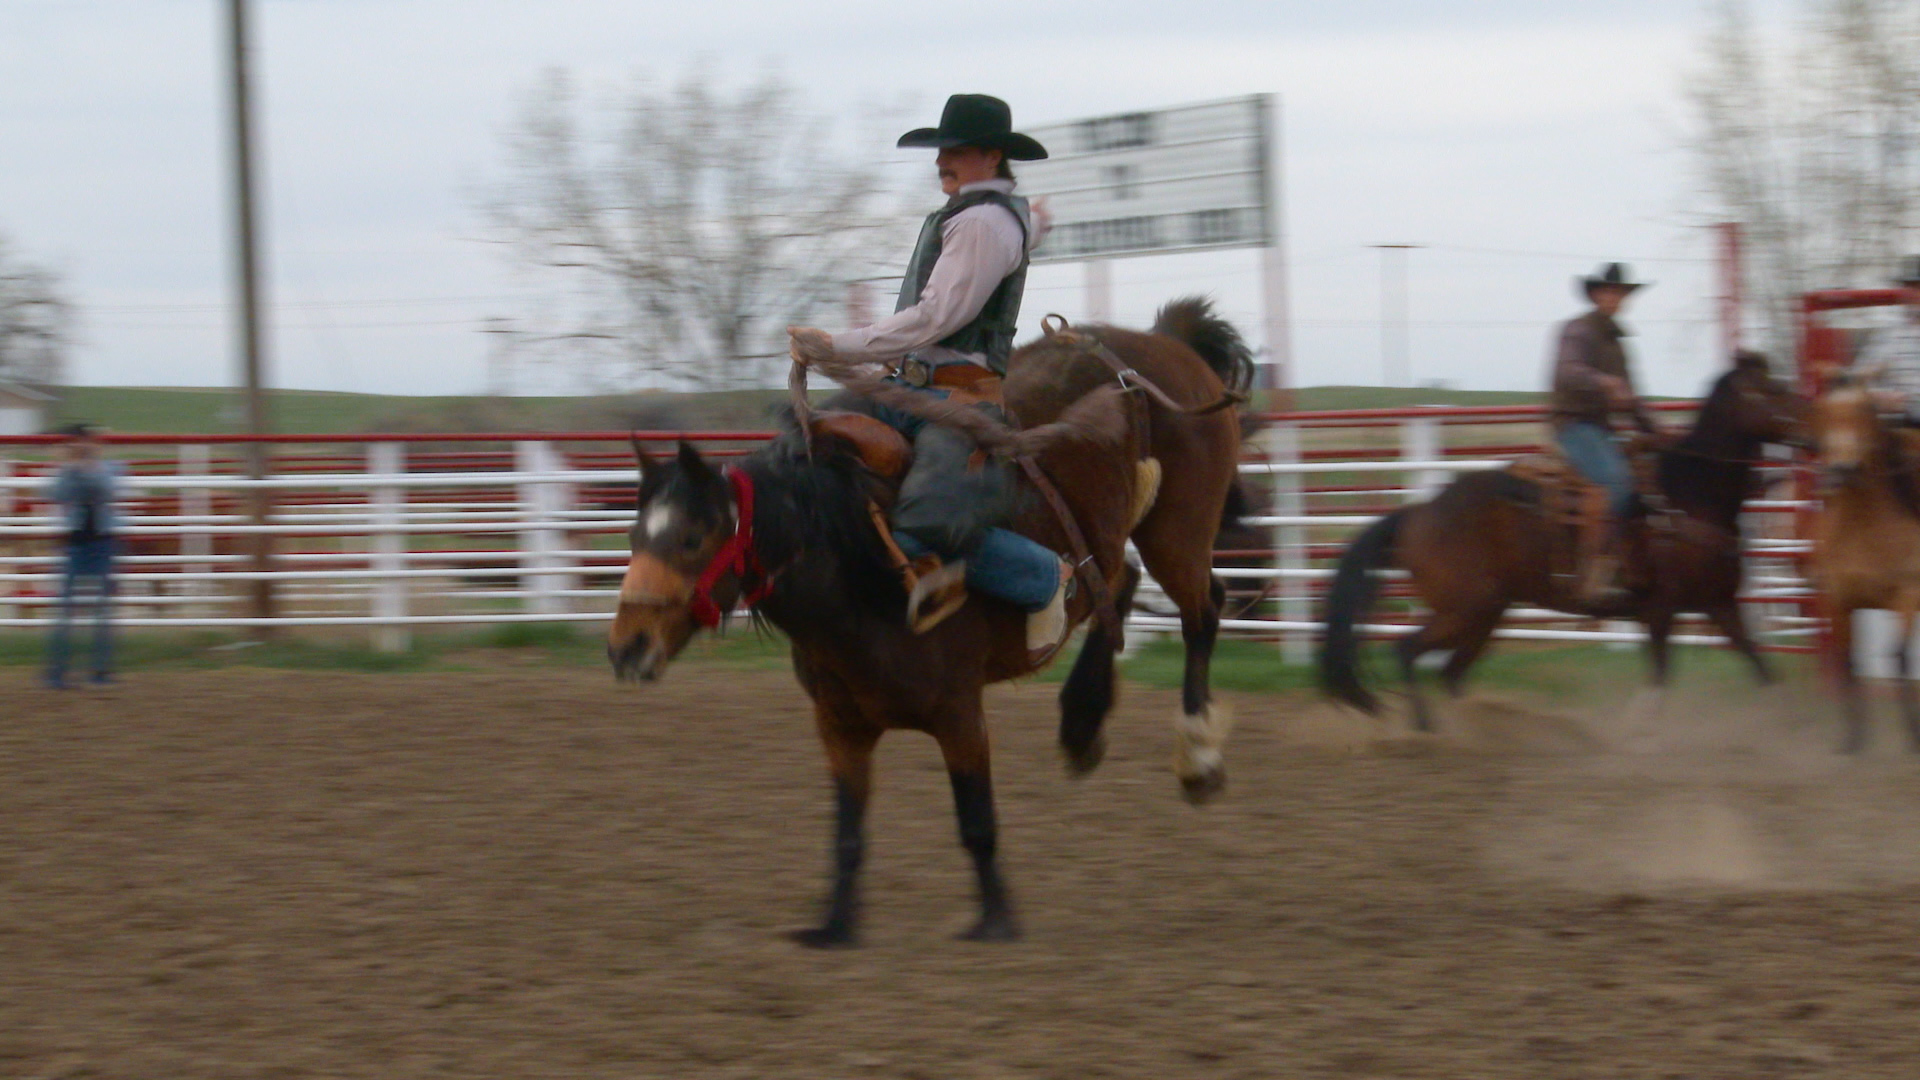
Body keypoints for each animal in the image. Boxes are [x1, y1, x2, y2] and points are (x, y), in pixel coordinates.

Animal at [606, 295, 1251, 941]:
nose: (626, 648)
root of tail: (1165, 342)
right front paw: (833, 925)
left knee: (1202, 611)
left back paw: (1197, 758)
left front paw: (995, 921)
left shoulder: (960, 716)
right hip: (1120, 538)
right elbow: (847, 832)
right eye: (635, 536)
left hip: (1178, 532)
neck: (856, 565)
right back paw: (1081, 724)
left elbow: (976, 822)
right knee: (1117, 584)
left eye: (692, 538)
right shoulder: (839, 725)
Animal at [1328, 353, 1804, 730]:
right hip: (1464, 608)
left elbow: (1762, 668)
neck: (1687, 498)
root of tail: (1419, 512)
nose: (1811, 427)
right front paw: (1639, 727)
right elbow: (1658, 681)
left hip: (1484, 613)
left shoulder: (1720, 604)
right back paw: (1427, 730)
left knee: (1450, 673)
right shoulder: (1660, 609)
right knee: (1408, 651)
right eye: (1775, 389)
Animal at [1804, 374, 1920, 753]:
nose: (1842, 469)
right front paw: (1853, 739)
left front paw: (1912, 735)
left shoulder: (1906, 597)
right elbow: (1849, 663)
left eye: (1865, 411)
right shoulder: (1839, 601)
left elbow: (1898, 658)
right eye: (1825, 413)